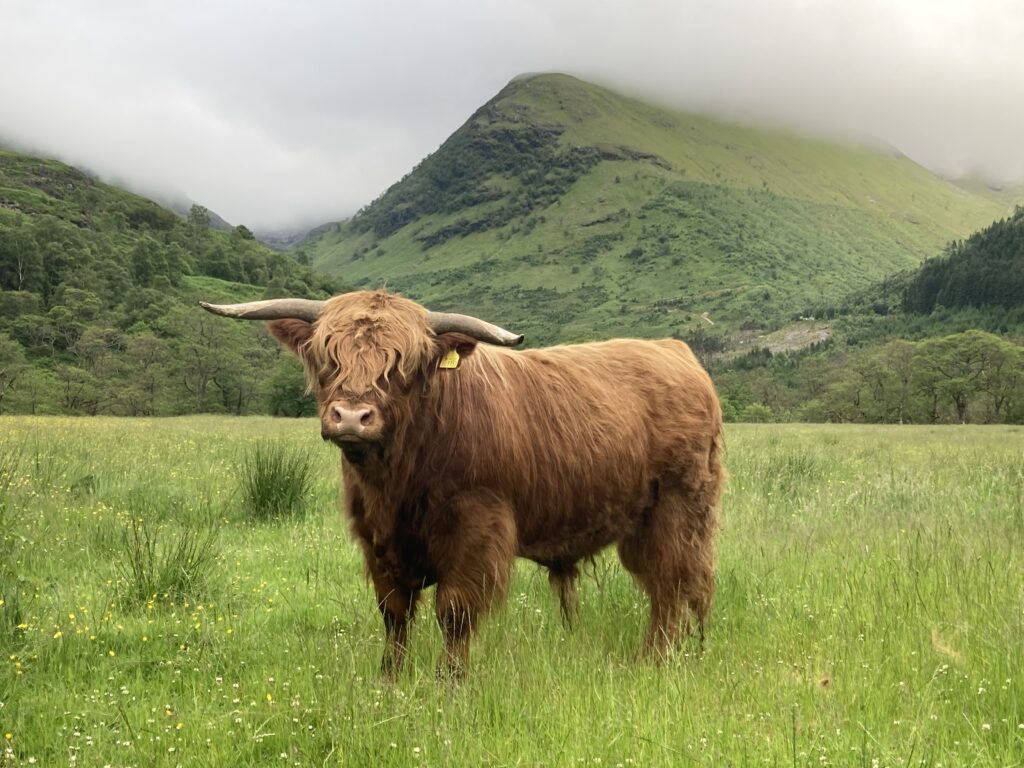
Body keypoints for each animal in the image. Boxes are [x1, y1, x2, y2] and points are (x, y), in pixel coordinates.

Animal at [200, 290, 725, 678]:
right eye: (328, 358)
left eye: (403, 365)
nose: (351, 416)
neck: (397, 480)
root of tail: (674, 350)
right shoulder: (376, 536)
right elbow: (394, 613)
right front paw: (389, 679)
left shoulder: (477, 528)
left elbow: (454, 612)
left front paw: (449, 682)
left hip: (677, 508)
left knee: (672, 582)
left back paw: (655, 659)